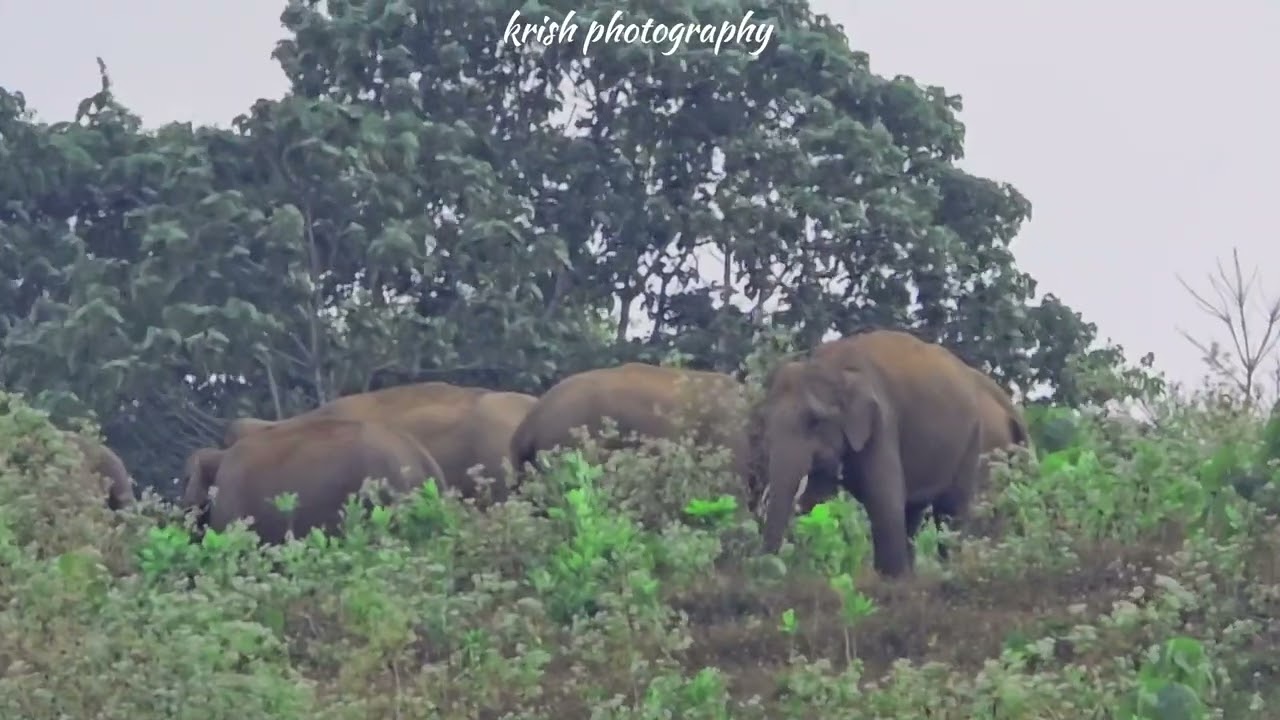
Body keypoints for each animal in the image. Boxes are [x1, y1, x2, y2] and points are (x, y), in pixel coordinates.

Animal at [752, 329, 989, 578]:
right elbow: (818, 501)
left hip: (971, 439)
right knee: (913, 512)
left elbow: (884, 500)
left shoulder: (882, 423)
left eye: (814, 421)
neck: (834, 366)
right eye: (764, 421)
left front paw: (889, 581)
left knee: (949, 512)